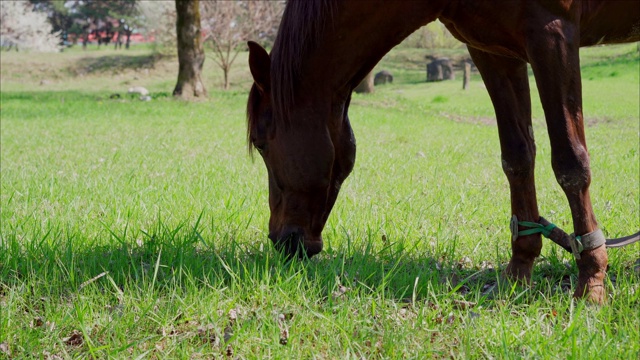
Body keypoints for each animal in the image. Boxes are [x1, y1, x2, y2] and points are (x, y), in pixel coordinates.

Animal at [246, 0, 640, 304]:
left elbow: (571, 163)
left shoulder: (552, 36)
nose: (280, 240)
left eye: (262, 144)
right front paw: (517, 274)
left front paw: (591, 283)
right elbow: (517, 157)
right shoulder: (495, 52)